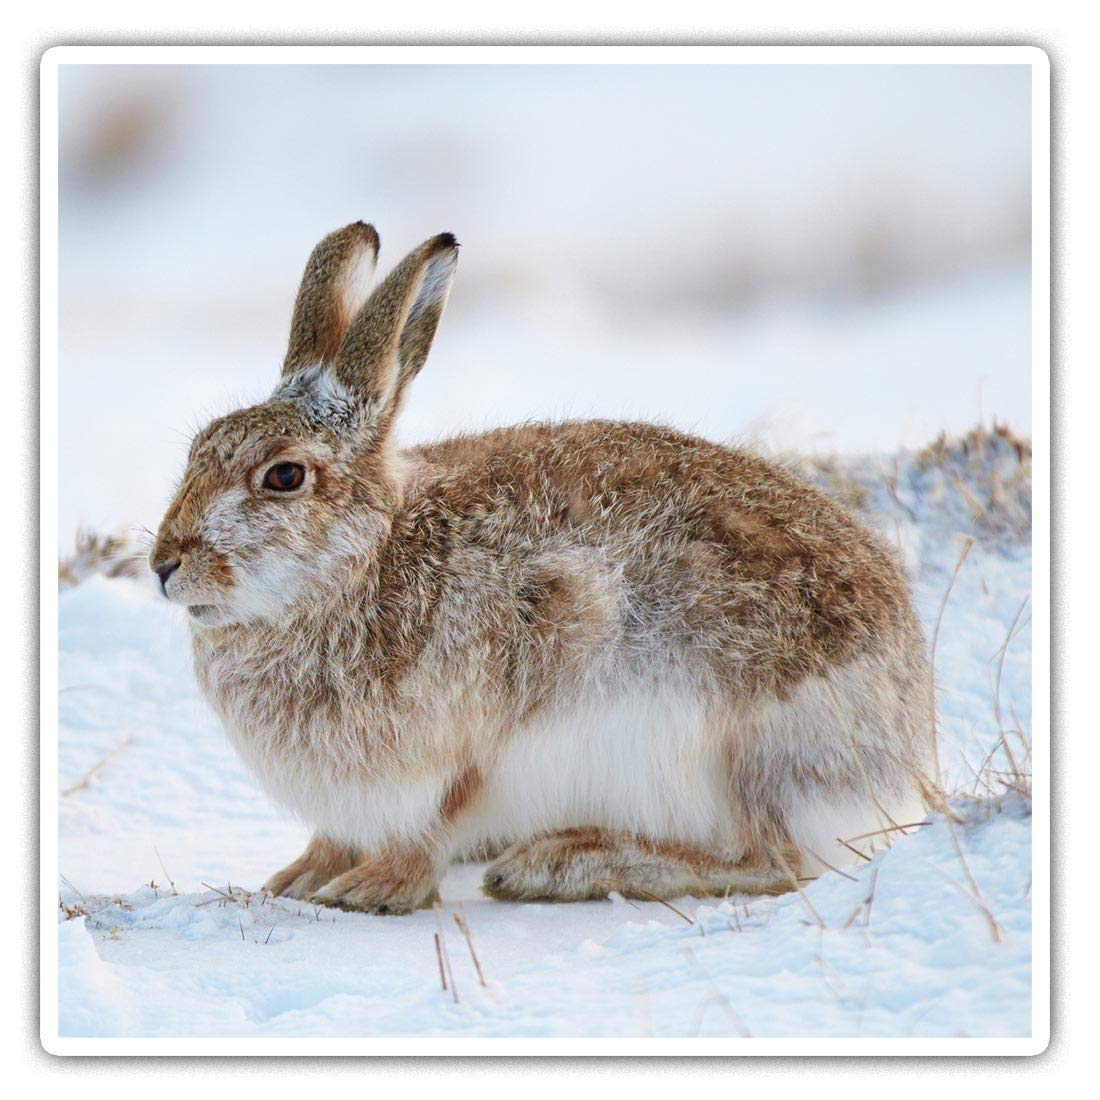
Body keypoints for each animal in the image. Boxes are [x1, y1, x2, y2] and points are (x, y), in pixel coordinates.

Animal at [150, 222, 935, 913]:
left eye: (284, 476)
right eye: (196, 451)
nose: (164, 564)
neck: (359, 565)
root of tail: (907, 740)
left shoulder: (473, 731)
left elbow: (436, 820)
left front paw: (371, 891)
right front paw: (298, 878)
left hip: (748, 751)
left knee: (772, 860)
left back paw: (562, 863)